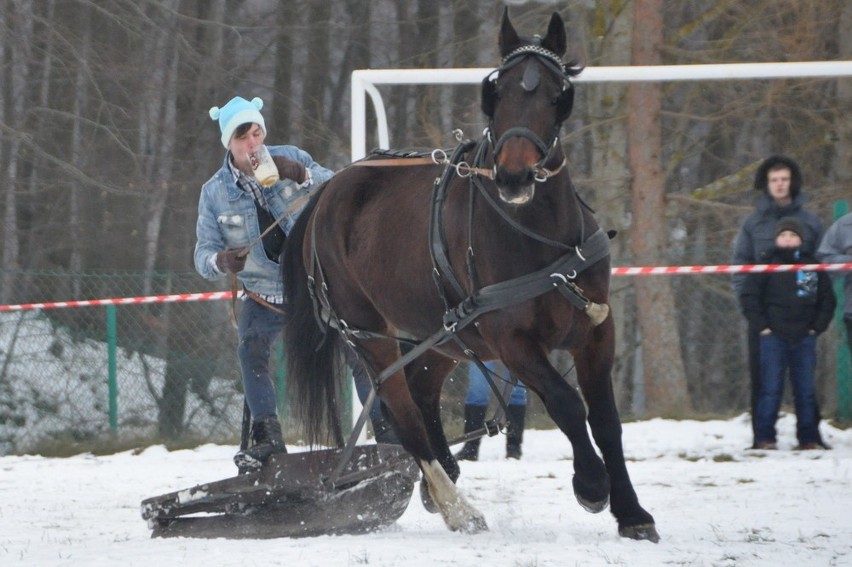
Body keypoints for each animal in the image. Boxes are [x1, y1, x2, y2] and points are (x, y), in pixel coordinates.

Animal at [280, 8, 660, 540]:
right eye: (496, 93)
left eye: (555, 93)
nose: (514, 176)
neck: (537, 233)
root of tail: (328, 192)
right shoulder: (513, 342)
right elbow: (566, 403)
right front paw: (591, 484)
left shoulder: (595, 332)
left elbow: (606, 419)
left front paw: (632, 512)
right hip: (369, 333)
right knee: (404, 412)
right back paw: (456, 506)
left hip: (441, 334)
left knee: (421, 391)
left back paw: (442, 481)